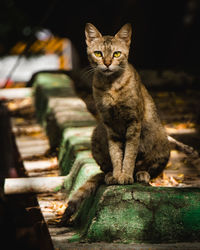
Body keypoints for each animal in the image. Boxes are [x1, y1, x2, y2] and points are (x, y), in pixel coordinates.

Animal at [59, 22, 170, 224]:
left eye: (117, 54)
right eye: (98, 53)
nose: (108, 63)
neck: (111, 85)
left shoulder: (134, 123)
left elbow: (130, 154)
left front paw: (125, 175)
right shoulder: (109, 125)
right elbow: (116, 154)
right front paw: (118, 174)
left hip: (162, 141)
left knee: (147, 167)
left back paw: (141, 174)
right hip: (96, 134)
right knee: (104, 168)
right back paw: (111, 175)